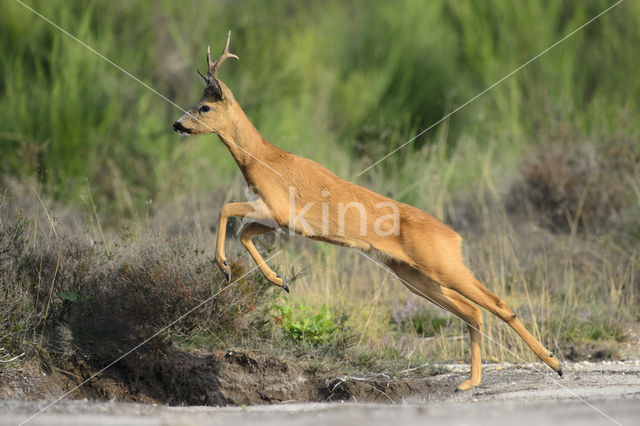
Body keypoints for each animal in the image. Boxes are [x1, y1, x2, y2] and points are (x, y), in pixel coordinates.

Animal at [172, 31, 564, 392]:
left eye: (205, 107)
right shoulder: (283, 222)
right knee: (473, 312)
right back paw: (470, 382)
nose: (177, 124)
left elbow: (226, 210)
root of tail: (455, 236)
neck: (262, 159)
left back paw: (554, 364)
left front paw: (225, 266)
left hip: (442, 266)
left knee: (497, 303)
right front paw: (278, 281)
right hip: (414, 276)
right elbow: (243, 231)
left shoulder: (279, 210)